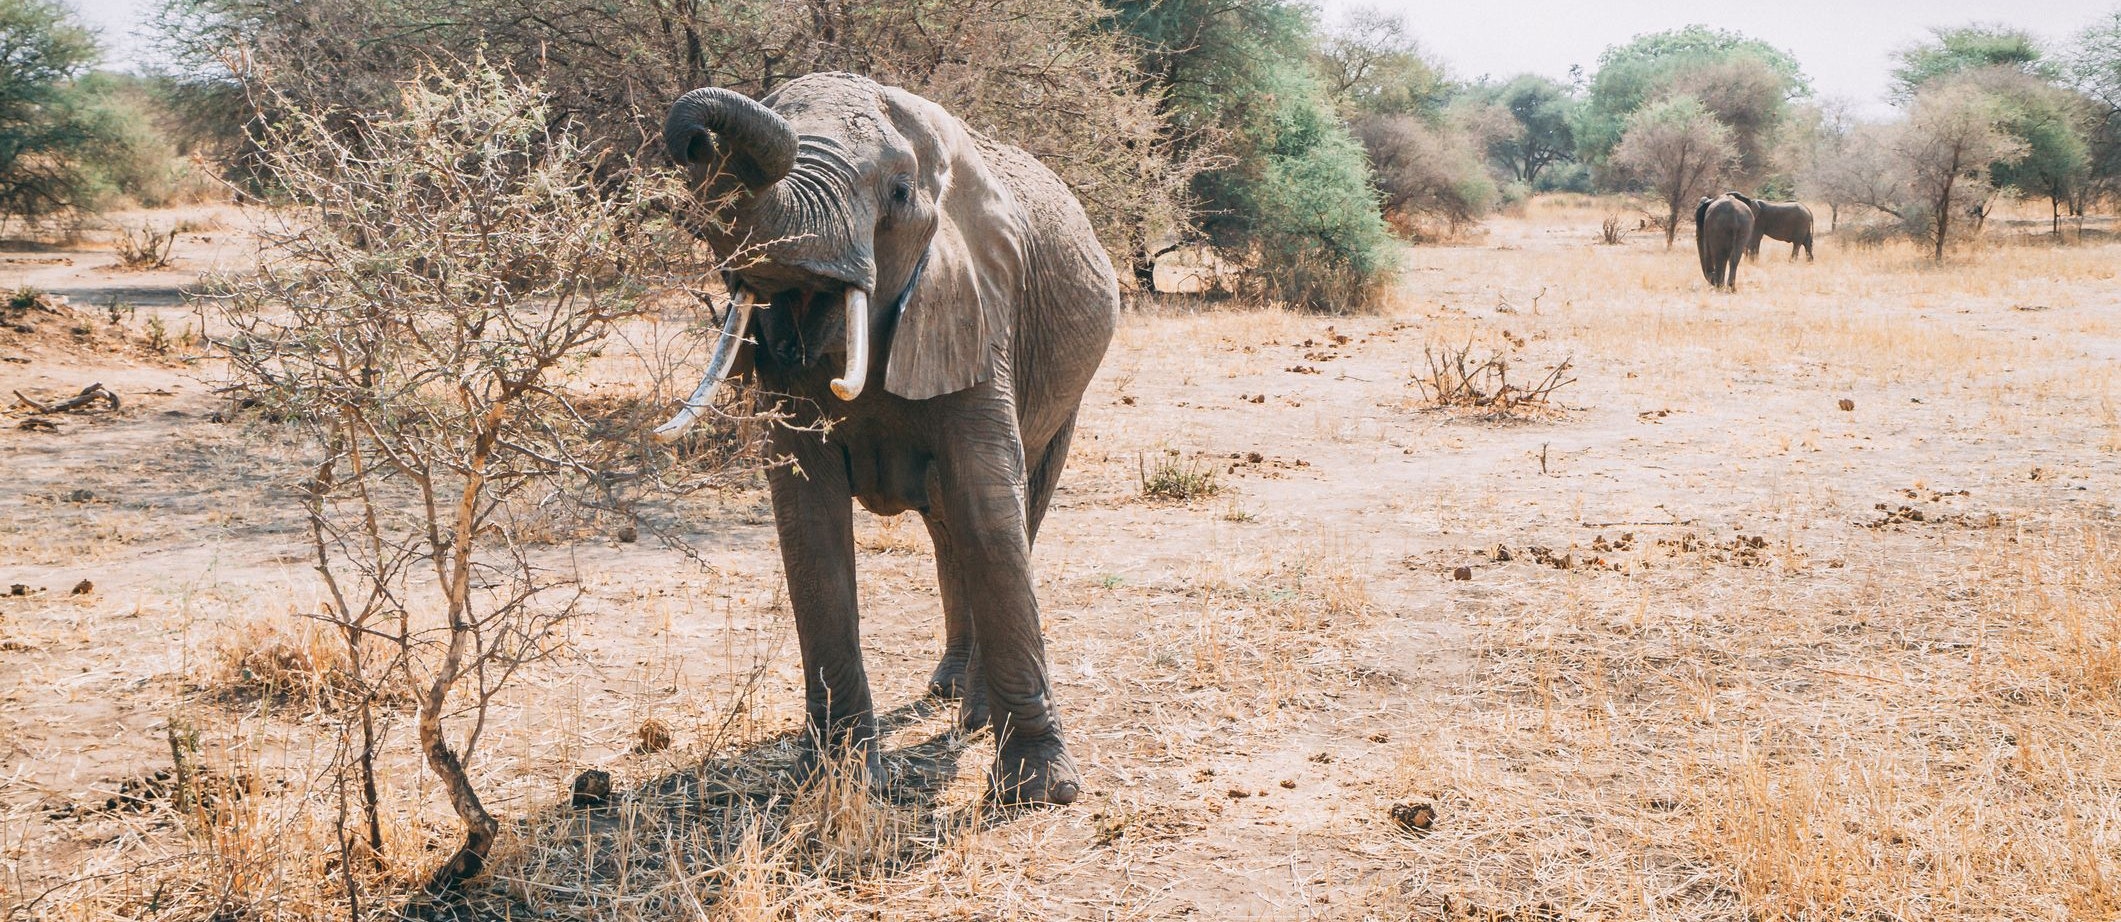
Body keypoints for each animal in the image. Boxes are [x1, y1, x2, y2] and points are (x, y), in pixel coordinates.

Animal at [657, 74, 1128, 809]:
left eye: (900, 194)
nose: (699, 138)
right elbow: (808, 522)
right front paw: (842, 779)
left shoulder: (981, 306)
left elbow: (989, 509)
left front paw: (1039, 792)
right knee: (945, 527)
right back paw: (948, 692)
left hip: (1066, 392)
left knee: (1011, 510)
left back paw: (972, 714)